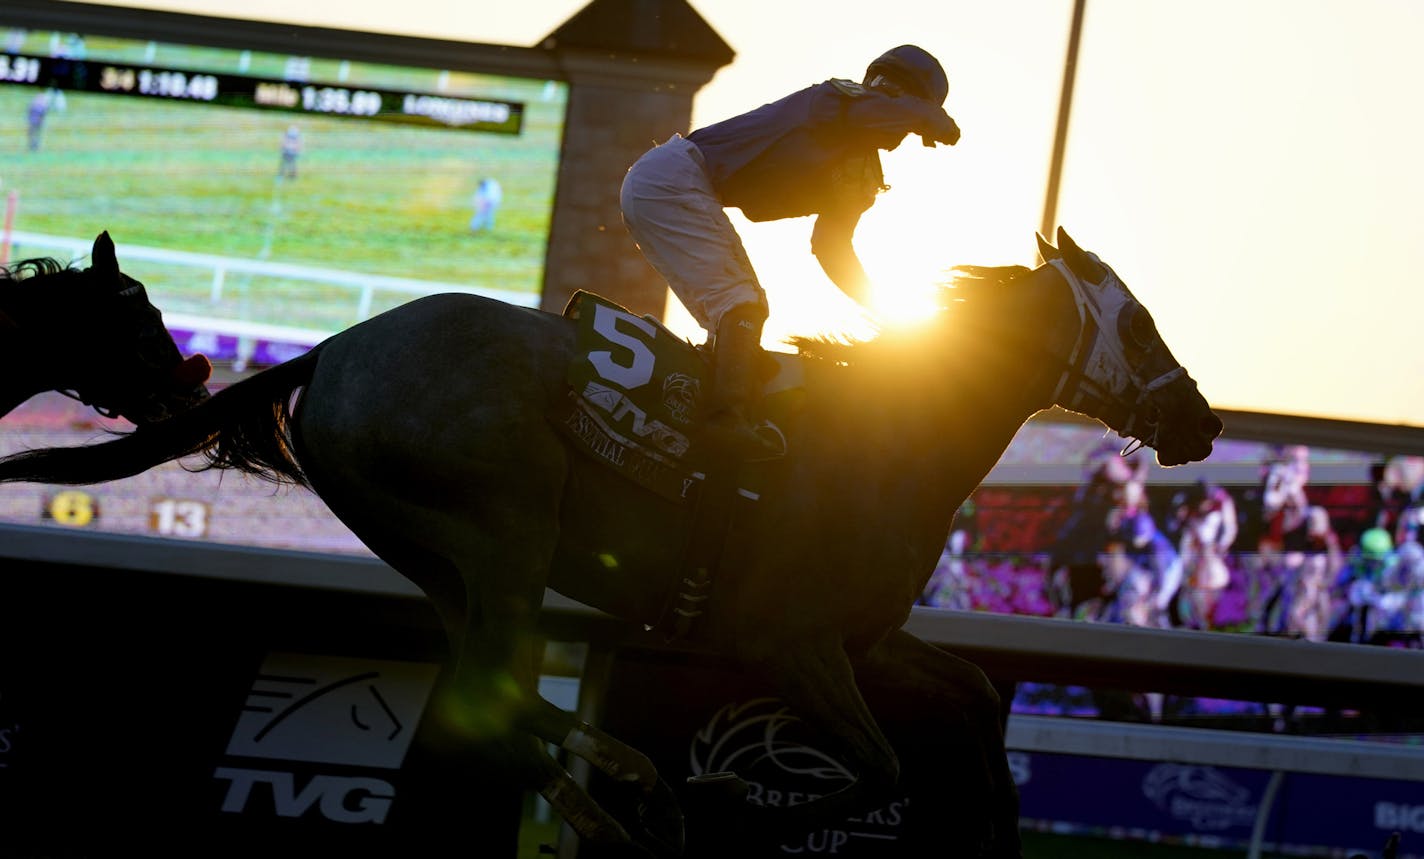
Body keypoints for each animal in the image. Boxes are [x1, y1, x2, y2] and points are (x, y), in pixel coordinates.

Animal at [0, 230, 1224, 859]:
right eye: (1135, 322)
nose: (1202, 420)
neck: (890, 435)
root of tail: (335, 351)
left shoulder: (865, 637)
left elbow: (971, 695)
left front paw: (1000, 828)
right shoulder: (787, 643)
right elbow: (875, 764)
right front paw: (729, 807)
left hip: (438, 553)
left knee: (486, 685)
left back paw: (622, 788)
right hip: (506, 527)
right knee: (482, 689)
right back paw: (629, 802)